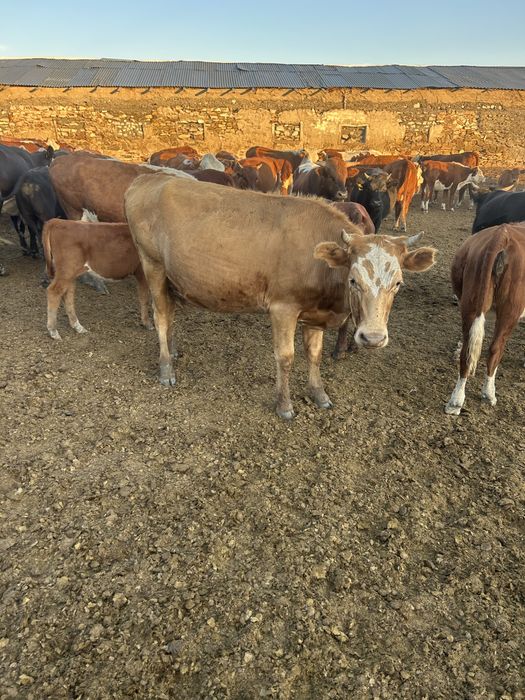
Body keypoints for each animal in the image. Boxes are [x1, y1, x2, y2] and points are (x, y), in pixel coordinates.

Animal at [125, 174, 436, 418]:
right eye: (353, 280)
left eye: (398, 283)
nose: (372, 338)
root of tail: (147, 179)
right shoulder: (282, 308)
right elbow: (286, 357)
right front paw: (284, 405)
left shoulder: (315, 313)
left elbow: (314, 354)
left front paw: (318, 393)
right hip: (152, 265)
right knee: (161, 316)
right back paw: (166, 369)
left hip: (171, 277)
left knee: (170, 313)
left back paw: (174, 351)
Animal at [445, 224, 525, 415]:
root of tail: (502, 235)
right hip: (510, 311)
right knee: (496, 348)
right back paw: (489, 393)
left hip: (470, 304)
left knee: (467, 350)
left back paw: (456, 401)